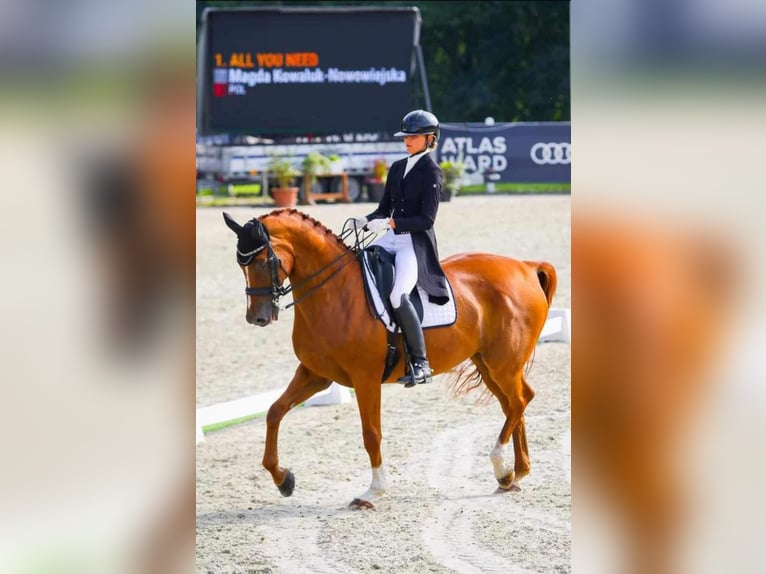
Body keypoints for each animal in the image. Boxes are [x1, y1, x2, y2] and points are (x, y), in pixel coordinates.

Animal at [224, 209, 560, 510]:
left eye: (264, 261)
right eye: (240, 265)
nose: (257, 318)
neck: (335, 292)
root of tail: (527, 266)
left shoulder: (366, 379)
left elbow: (371, 434)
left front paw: (374, 491)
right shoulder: (315, 374)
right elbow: (274, 412)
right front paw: (283, 479)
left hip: (503, 364)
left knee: (520, 401)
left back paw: (501, 465)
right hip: (488, 364)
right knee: (514, 404)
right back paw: (514, 474)